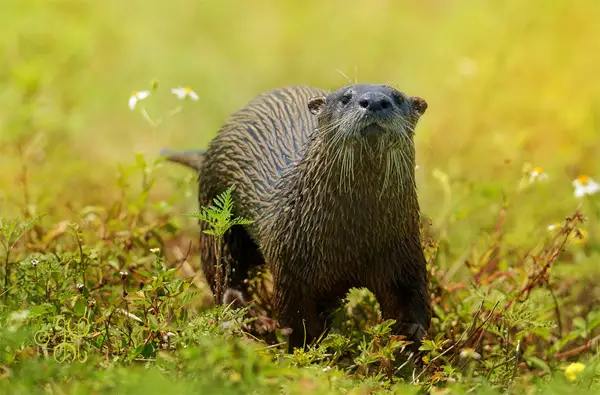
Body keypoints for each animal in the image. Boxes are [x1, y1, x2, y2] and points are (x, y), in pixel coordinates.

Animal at [162, 85, 428, 354]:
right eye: (345, 98)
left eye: (397, 97)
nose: (373, 101)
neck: (352, 241)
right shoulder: (291, 268)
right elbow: (298, 321)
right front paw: (307, 351)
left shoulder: (403, 254)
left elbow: (412, 298)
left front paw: (411, 333)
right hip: (217, 217)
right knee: (223, 275)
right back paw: (257, 322)